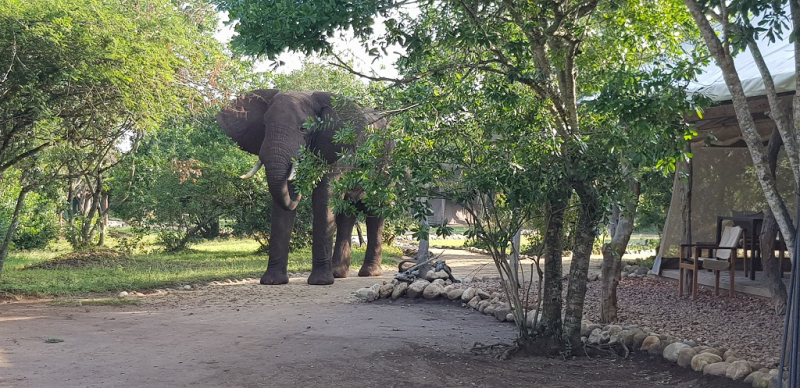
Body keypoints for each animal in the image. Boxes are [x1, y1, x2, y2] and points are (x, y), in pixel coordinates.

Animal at [214, 90, 386, 284]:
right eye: (264, 125)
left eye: (304, 129)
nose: (299, 193)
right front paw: (273, 282)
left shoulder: (338, 150)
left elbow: (324, 197)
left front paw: (320, 282)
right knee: (346, 212)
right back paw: (338, 274)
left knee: (376, 210)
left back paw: (369, 273)